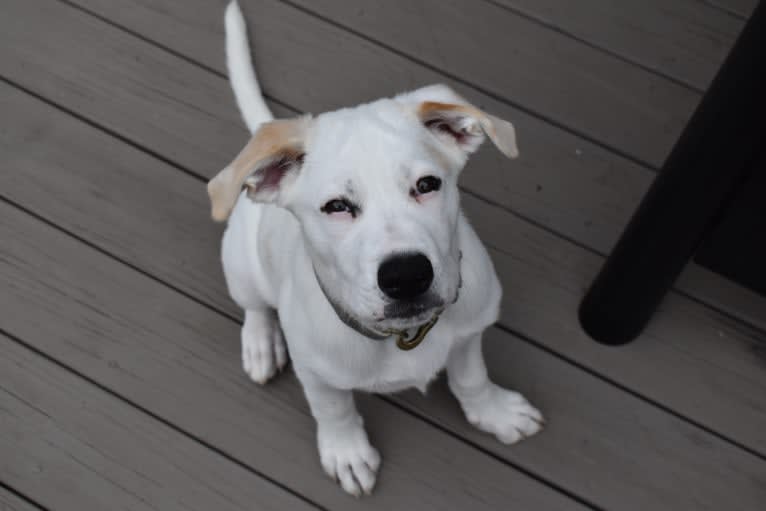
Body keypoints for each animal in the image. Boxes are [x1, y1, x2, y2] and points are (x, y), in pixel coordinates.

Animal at [208, 0, 544, 496]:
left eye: (427, 184)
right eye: (337, 207)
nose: (407, 276)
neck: (403, 338)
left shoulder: (469, 331)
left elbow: (471, 377)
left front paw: (494, 411)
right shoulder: (317, 373)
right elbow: (334, 410)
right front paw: (346, 452)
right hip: (241, 265)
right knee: (254, 306)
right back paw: (260, 342)